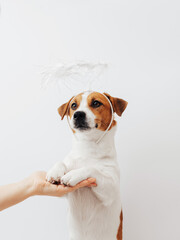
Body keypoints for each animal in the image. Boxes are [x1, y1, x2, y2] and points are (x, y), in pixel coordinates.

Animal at [46, 90, 128, 240]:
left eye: (96, 103)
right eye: (73, 105)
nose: (78, 114)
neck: (88, 148)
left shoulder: (111, 189)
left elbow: (92, 168)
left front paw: (74, 174)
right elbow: (61, 162)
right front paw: (55, 172)